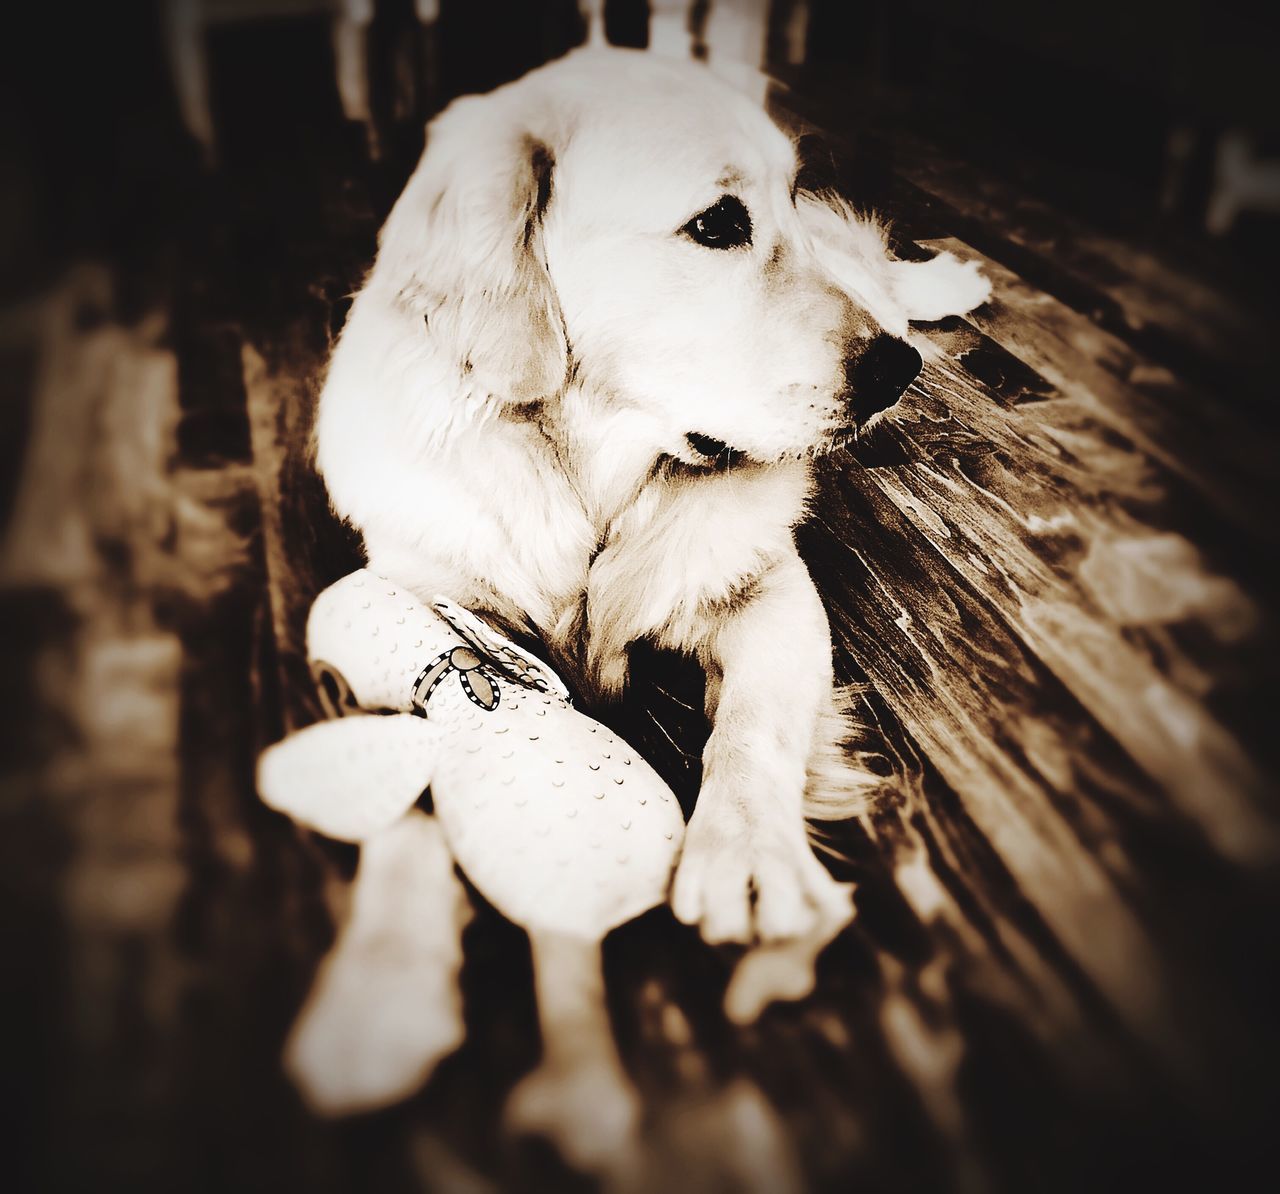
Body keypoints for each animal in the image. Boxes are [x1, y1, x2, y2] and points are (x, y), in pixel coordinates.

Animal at [312, 46, 988, 947]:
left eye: (777, 200)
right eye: (717, 224)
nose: (897, 372)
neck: (592, 480)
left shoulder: (770, 590)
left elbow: (752, 729)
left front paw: (748, 856)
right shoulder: (430, 583)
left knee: (876, 274)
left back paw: (952, 283)